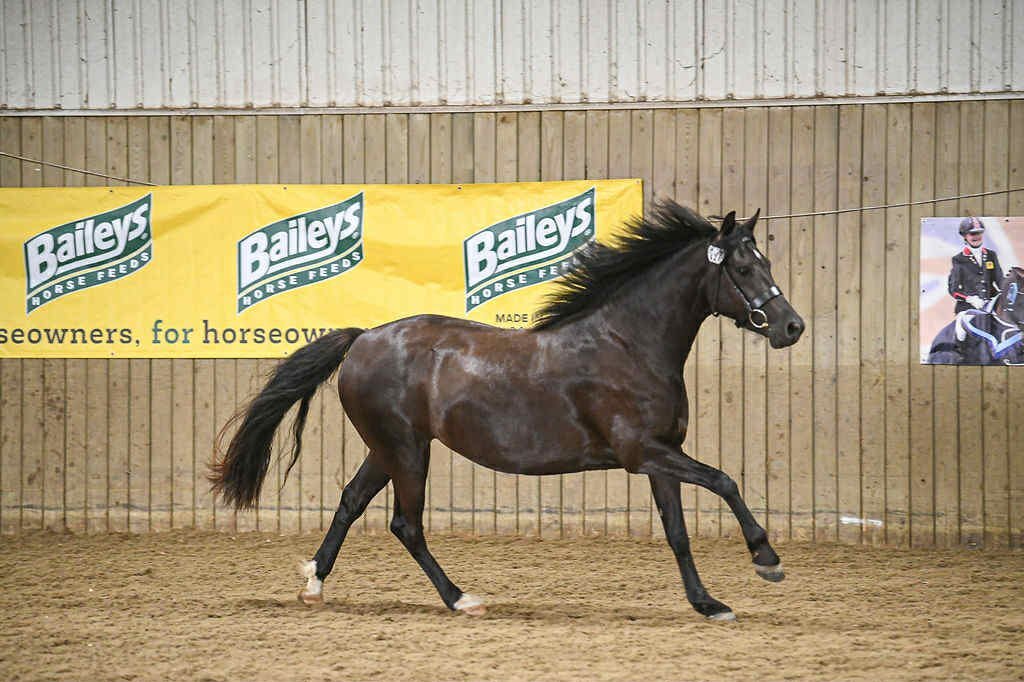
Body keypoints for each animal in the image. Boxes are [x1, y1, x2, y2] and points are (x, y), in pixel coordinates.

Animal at [210, 201, 805, 622]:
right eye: (744, 268)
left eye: (765, 261)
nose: (792, 327)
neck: (628, 344)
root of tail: (363, 338)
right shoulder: (644, 453)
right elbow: (725, 481)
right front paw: (766, 560)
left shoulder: (662, 457)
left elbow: (678, 532)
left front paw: (709, 603)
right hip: (406, 450)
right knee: (406, 524)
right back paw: (461, 599)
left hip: (388, 448)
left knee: (352, 501)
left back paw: (314, 583)